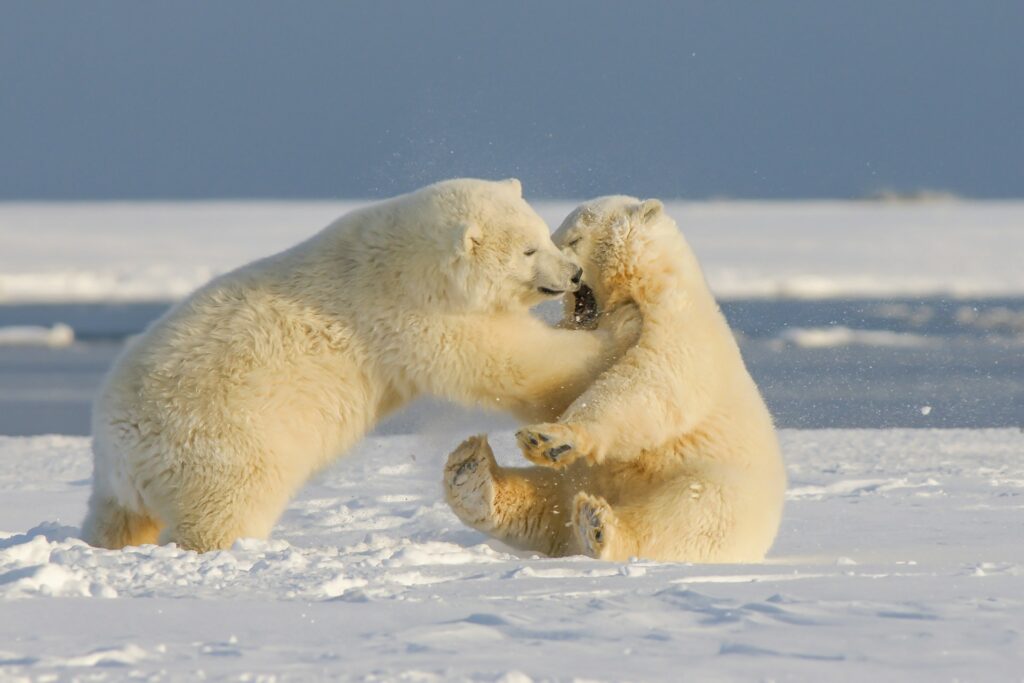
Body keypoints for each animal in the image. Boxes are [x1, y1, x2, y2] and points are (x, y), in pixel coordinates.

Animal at [81, 179, 638, 552]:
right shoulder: (410, 315)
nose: (574, 273)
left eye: (547, 234)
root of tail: (120, 444)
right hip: (224, 445)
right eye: (528, 249)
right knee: (224, 511)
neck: (405, 261)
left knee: (116, 517)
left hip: (126, 481)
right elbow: (512, 361)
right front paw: (626, 326)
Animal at [444, 194, 786, 565]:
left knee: (688, 515)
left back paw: (597, 526)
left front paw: (551, 437)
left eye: (572, 239)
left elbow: (648, 383)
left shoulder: (679, 325)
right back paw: (472, 474)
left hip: (713, 484)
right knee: (545, 500)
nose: (567, 274)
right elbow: (557, 380)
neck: (648, 285)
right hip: (575, 479)